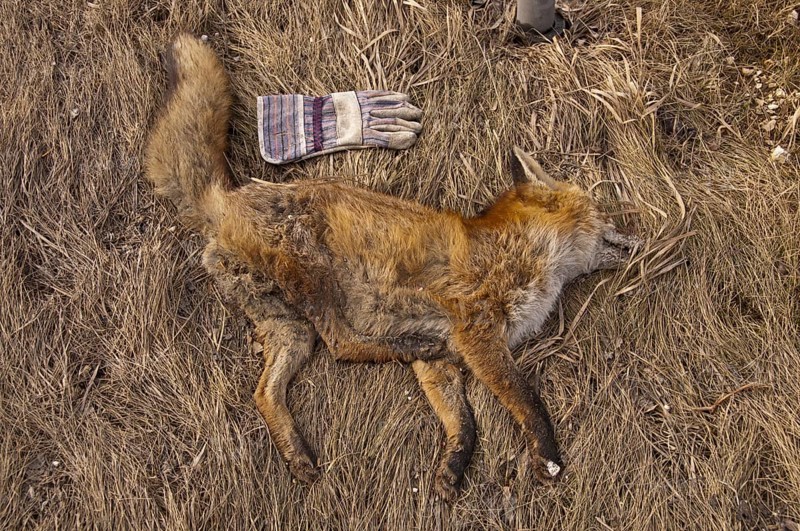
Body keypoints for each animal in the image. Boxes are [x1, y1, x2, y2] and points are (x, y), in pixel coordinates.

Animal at [144, 33, 639, 501]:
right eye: (602, 212)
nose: (635, 233)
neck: (519, 252)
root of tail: (227, 199)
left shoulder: (446, 360)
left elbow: (464, 421)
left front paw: (452, 468)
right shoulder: (477, 335)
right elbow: (527, 399)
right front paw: (547, 456)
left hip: (289, 327)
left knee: (265, 392)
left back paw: (297, 454)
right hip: (315, 277)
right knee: (342, 343)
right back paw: (405, 344)